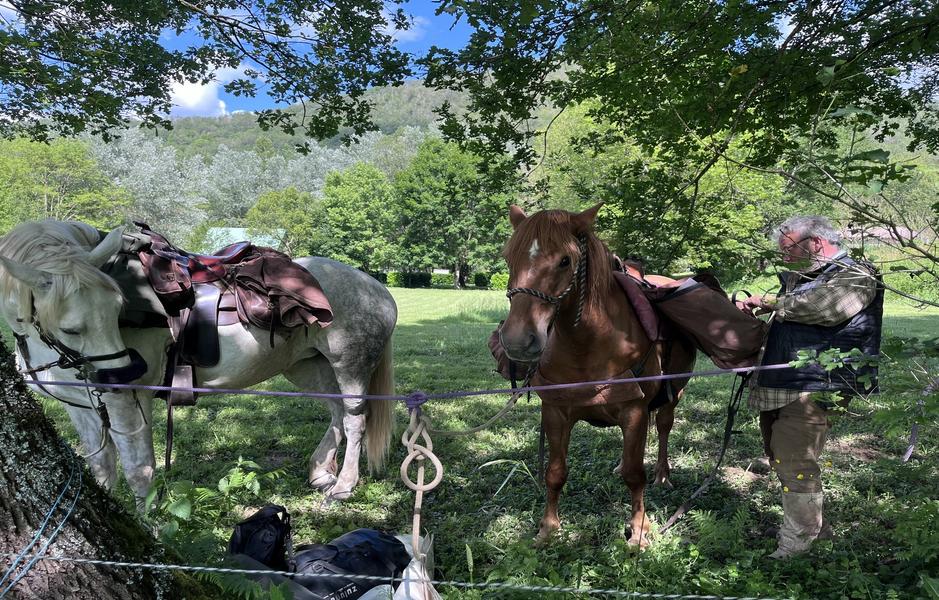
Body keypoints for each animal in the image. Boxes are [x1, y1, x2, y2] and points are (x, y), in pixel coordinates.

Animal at [0, 219, 397, 505]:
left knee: (355, 420)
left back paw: (344, 486)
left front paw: (153, 528)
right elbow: (101, 467)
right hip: (308, 367)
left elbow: (139, 471)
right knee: (336, 414)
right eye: (71, 328)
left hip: (349, 366)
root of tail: (378, 289)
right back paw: (321, 472)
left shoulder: (129, 403)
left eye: (118, 309)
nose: (125, 373)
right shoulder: (80, 406)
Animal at [498, 204, 696, 547]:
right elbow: (555, 472)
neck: (588, 344)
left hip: (674, 394)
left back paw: (663, 474)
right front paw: (548, 528)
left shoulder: (634, 411)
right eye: (509, 257)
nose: (517, 341)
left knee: (664, 427)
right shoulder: (555, 411)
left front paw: (639, 531)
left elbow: (635, 475)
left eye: (565, 260)